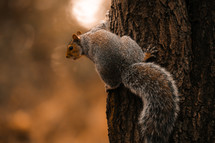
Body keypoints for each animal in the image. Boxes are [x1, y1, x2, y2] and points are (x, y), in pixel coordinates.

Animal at [66, 10, 180, 142]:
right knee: (117, 83)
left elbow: (104, 24)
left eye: (70, 47)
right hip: (124, 47)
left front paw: (108, 15)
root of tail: (124, 68)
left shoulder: (96, 29)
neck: (84, 40)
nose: (66, 56)